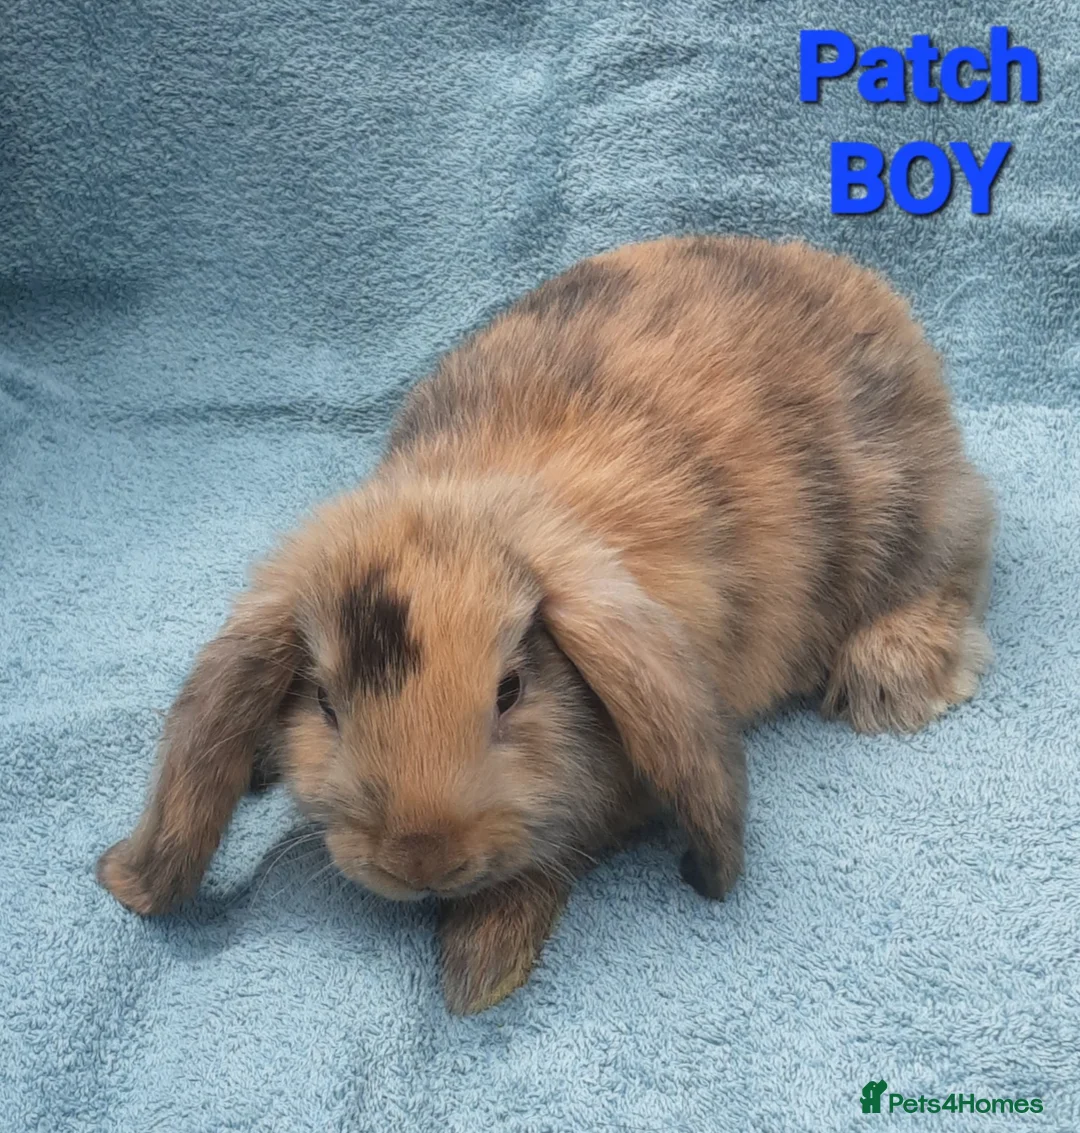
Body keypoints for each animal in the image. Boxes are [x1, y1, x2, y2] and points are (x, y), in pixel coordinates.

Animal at [97, 234, 994, 1014]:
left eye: (511, 690)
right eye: (322, 703)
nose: (423, 857)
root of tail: (864, 287)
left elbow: (550, 860)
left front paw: (481, 963)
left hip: (908, 516)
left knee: (960, 557)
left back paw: (893, 680)